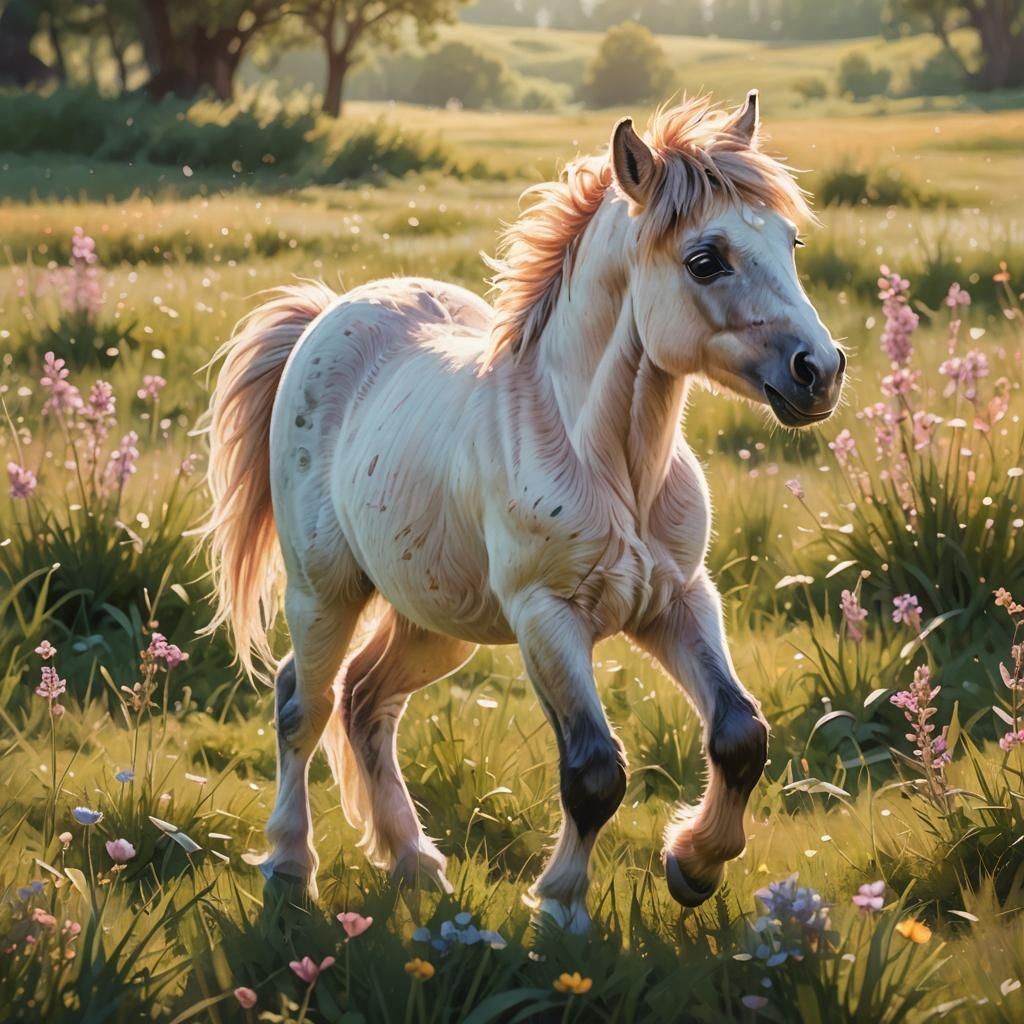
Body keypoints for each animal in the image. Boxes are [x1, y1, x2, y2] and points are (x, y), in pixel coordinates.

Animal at [201, 90, 844, 932]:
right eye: (706, 259)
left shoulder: (678, 599)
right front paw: (562, 908)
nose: (820, 372)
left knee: (366, 702)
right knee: (300, 706)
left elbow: (740, 734)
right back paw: (289, 867)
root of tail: (327, 312)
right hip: (325, 593)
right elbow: (594, 769)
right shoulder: (547, 616)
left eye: (790, 241)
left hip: (437, 621)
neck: (611, 464)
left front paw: (693, 866)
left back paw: (416, 865)